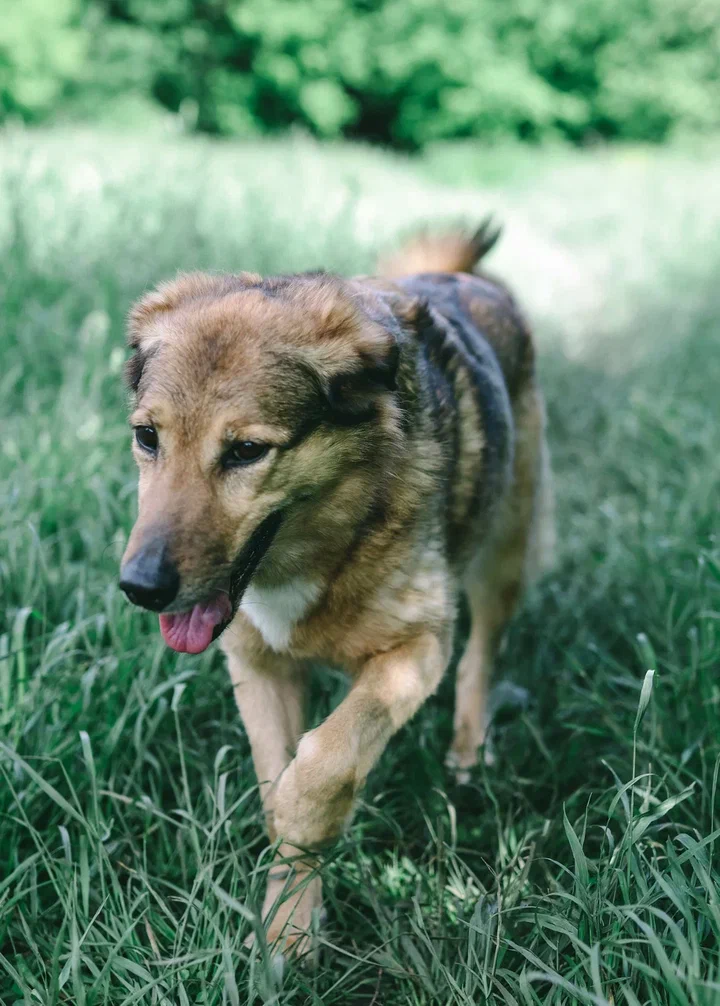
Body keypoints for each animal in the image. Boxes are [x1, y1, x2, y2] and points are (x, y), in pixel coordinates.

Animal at [121, 220, 555, 949]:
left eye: (246, 451)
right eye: (147, 437)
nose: (139, 586)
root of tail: (465, 277)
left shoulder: (416, 651)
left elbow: (323, 761)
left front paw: (303, 841)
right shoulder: (256, 666)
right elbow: (279, 779)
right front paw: (288, 926)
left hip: (504, 554)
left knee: (482, 656)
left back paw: (468, 753)